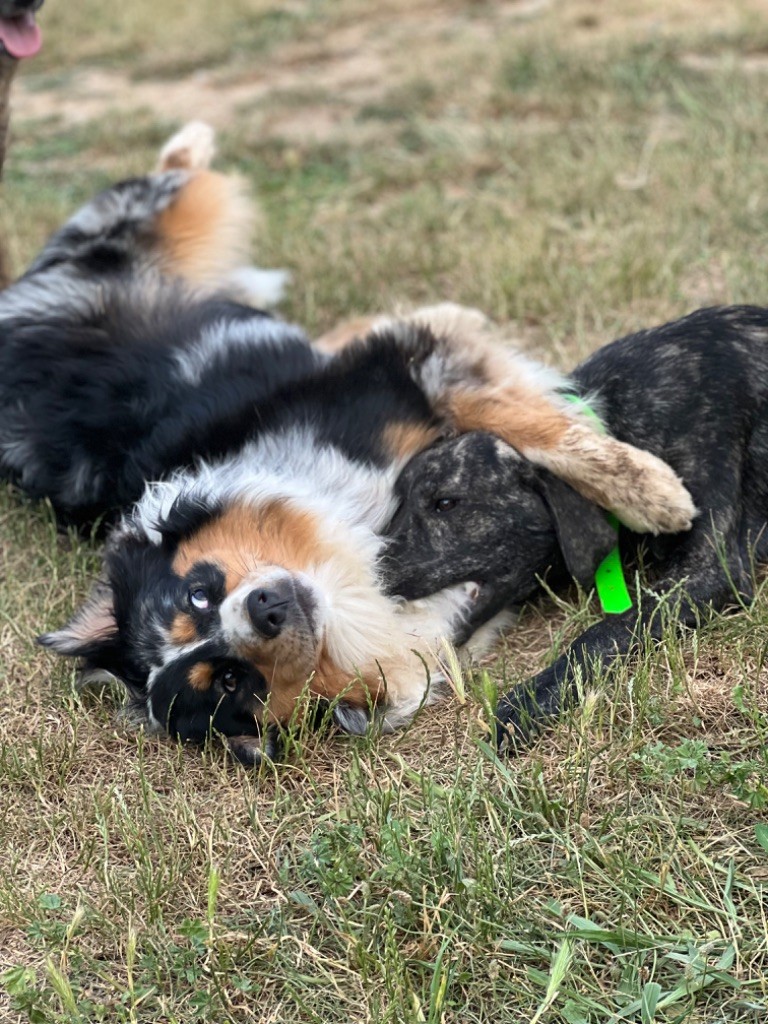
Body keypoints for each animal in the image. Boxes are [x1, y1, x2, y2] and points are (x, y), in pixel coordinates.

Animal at [0, 121, 696, 761]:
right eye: (229, 682)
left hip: (140, 230)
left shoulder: (392, 376)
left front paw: (657, 496)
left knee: (173, 188)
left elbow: (537, 423)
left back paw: (190, 143)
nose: (267, 609)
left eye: (197, 595)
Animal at [382, 307, 768, 749]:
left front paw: (531, 700)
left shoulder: (711, 569)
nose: (370, 574)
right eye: (397, 502)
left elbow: (607, 628)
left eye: (445, 503)